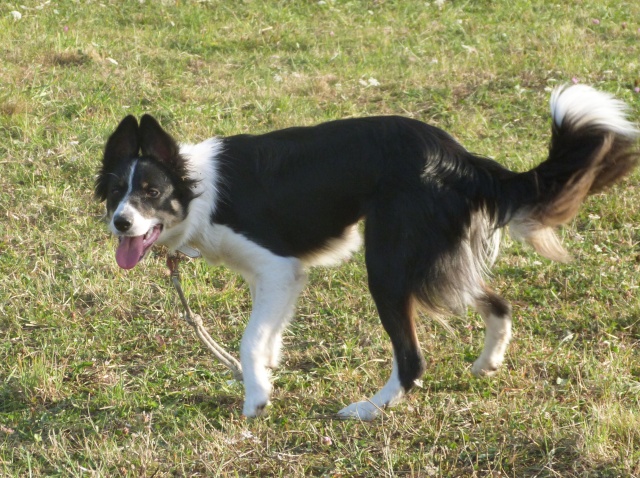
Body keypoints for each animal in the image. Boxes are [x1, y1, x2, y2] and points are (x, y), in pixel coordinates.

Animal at [96, 85, 640, 418]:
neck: (196, 189)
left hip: (388, 265)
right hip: (429, 256)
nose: (120, 222)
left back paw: (365, 410)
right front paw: (264, 379)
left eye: (150, 192)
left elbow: (250, 340)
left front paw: (256, 397)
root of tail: (460, 158)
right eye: (117, 192)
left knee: (412, 360)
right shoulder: (278, 279)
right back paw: (488, 362)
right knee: (497, 301)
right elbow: (267, 338)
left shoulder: (277, 267)